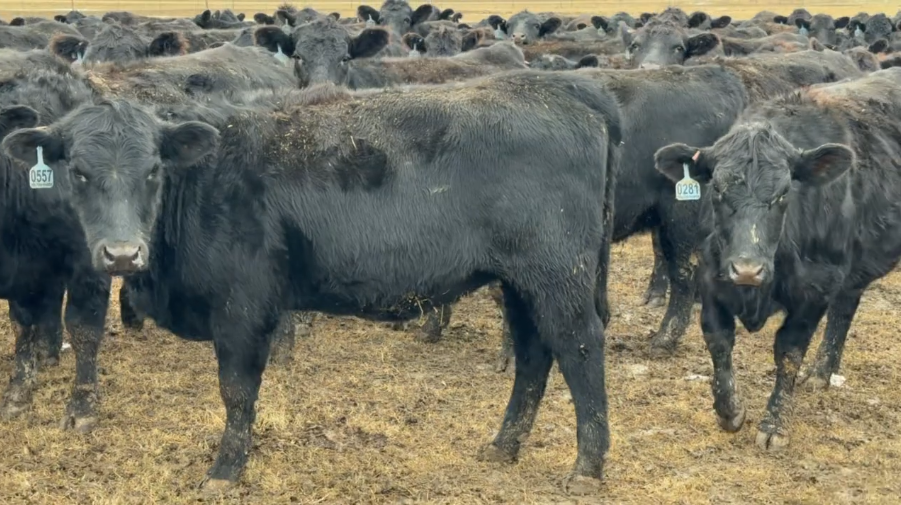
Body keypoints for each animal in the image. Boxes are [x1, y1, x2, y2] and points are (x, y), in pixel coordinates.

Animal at [2, 70, 622, 494]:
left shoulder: (244, 308)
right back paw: (503, 446)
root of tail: (557, 86)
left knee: (580, 350)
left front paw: (226, 469)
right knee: (533, 356)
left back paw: (588, 466)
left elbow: (237, 392)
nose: (122, 253)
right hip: (520, 282)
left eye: (153, 169)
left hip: (558, 277)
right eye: (79, 172)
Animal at [653, 67, 901, 452]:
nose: (747, 269)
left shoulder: (816, 287)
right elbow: (718, 340)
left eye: (785, 193)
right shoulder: (711, 276)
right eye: (717, 189)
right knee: (846, 307)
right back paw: (821, 373)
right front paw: (729, 410)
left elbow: (788, 352)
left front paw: (774, 424)